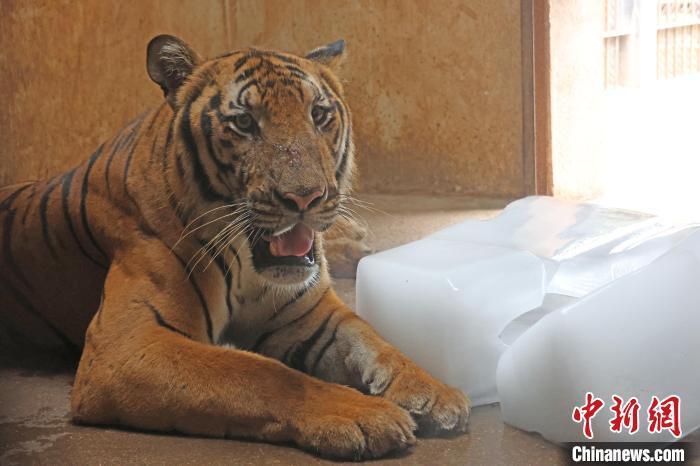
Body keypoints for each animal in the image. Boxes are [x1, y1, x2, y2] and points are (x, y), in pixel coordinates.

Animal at [0, 35, 469, 459]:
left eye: (318, 115)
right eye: (244, 123)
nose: (305, 198)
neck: (248, 262)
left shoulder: (310, 315)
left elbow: (376, 342)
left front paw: (434, 392)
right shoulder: (126, 345)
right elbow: (261, 373)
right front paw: (363, 414)